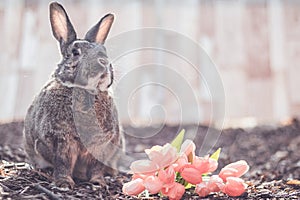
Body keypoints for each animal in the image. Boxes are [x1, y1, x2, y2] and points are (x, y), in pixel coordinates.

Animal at [22, 1, 123, 189]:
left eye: (104, 52)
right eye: (76, 52)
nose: (104, 62)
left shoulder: (101, 144)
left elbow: (96, 166)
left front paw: (98, 182)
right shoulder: (61, 141)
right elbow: (63, 163)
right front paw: (64, 183)